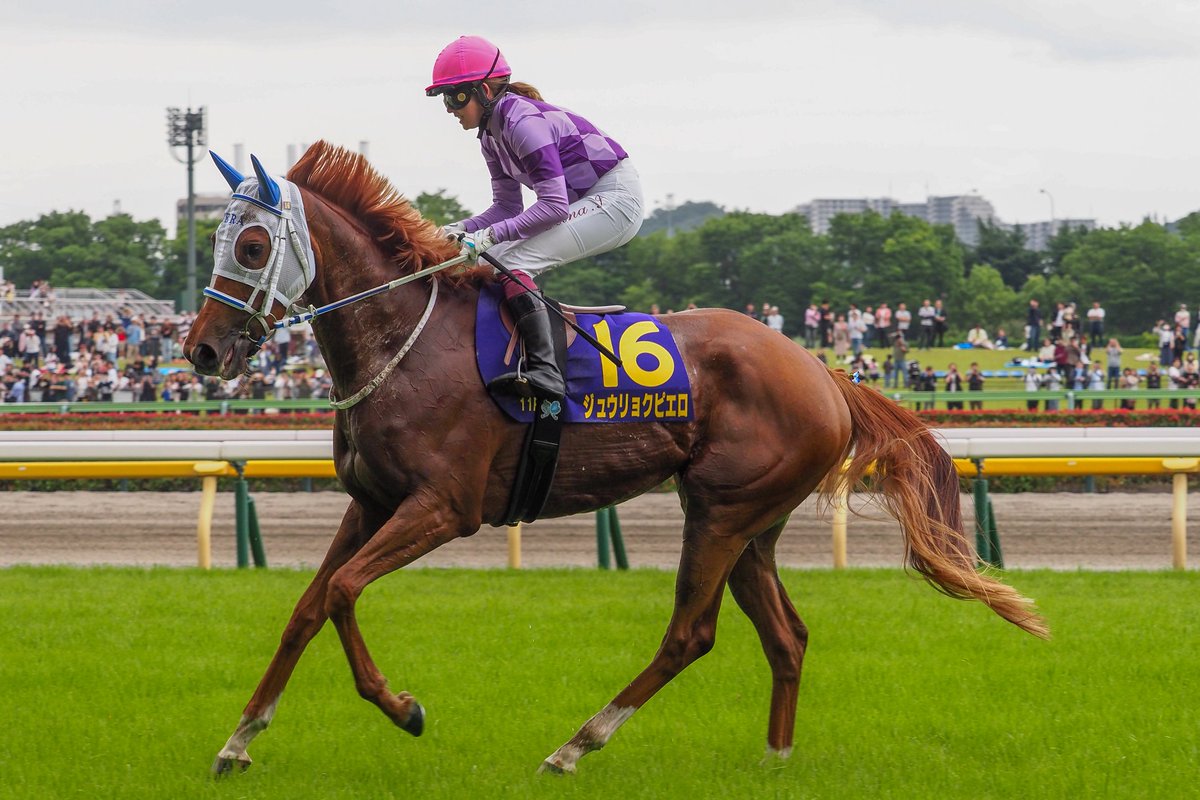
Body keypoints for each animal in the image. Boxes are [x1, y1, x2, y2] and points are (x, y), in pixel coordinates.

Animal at [184, 141, 1047, 777]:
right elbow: (308, 606)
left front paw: (404, 708)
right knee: (787, 635)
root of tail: (825, 373)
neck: (407, 340)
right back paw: (774, 757)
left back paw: (576, 745)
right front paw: (238, 739)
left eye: (253, 245)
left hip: (721, 512)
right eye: (219, 240)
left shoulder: (443, 508)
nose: (201, 350)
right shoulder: (371, 502)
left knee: (691, 633)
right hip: (750, 524)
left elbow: (343, 593)